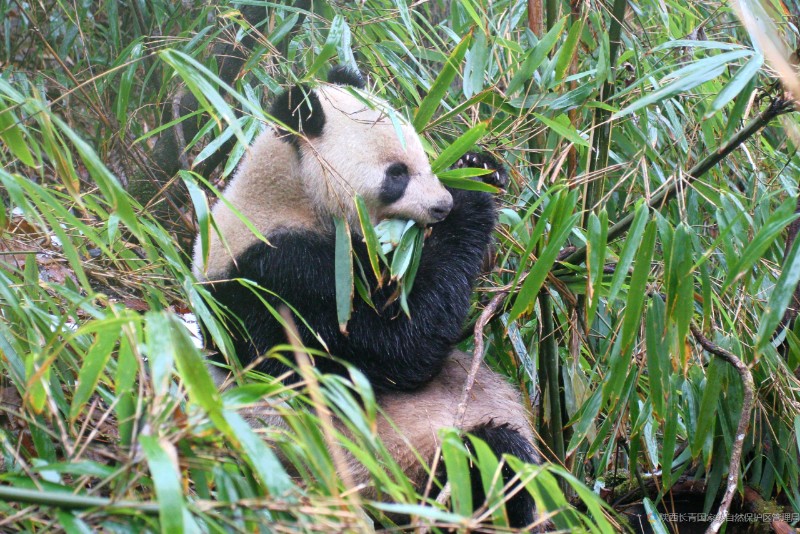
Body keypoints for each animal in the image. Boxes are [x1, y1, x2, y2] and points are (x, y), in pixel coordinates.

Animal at [194, 66, 540, 528]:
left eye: (423, 157)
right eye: (397, 173)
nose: (442, 206)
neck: (284, 195)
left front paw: (478, 166)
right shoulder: (280, 277)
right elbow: (400, 345)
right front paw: (472, 198)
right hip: (400, 472)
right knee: (492, 457)